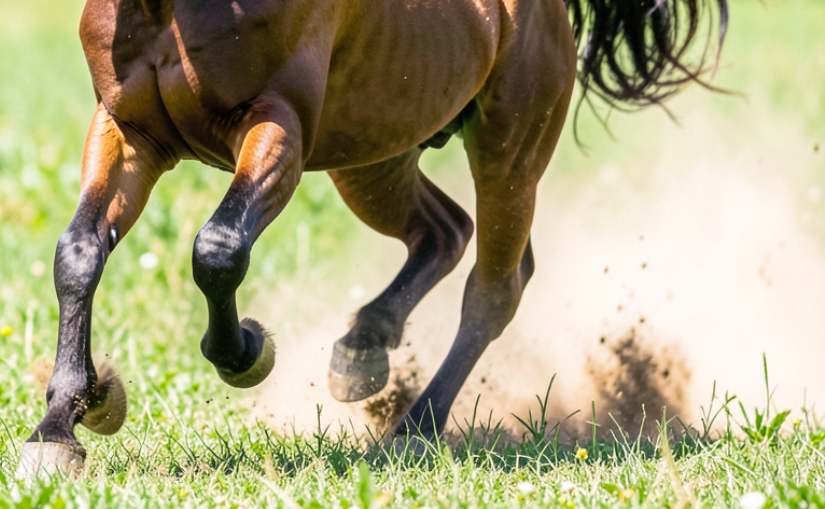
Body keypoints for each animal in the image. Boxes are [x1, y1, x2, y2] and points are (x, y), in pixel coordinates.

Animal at [18, 0, 727, 476]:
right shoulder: (127, 130)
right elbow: (79, 253)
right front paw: (65, 423)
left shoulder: (277, 128)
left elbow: (219, 249)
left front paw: (245, 353)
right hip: (372, 156)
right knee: (443, 231)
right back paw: (362, 351)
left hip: (509, 151)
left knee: (496, 287)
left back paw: (416, 429)